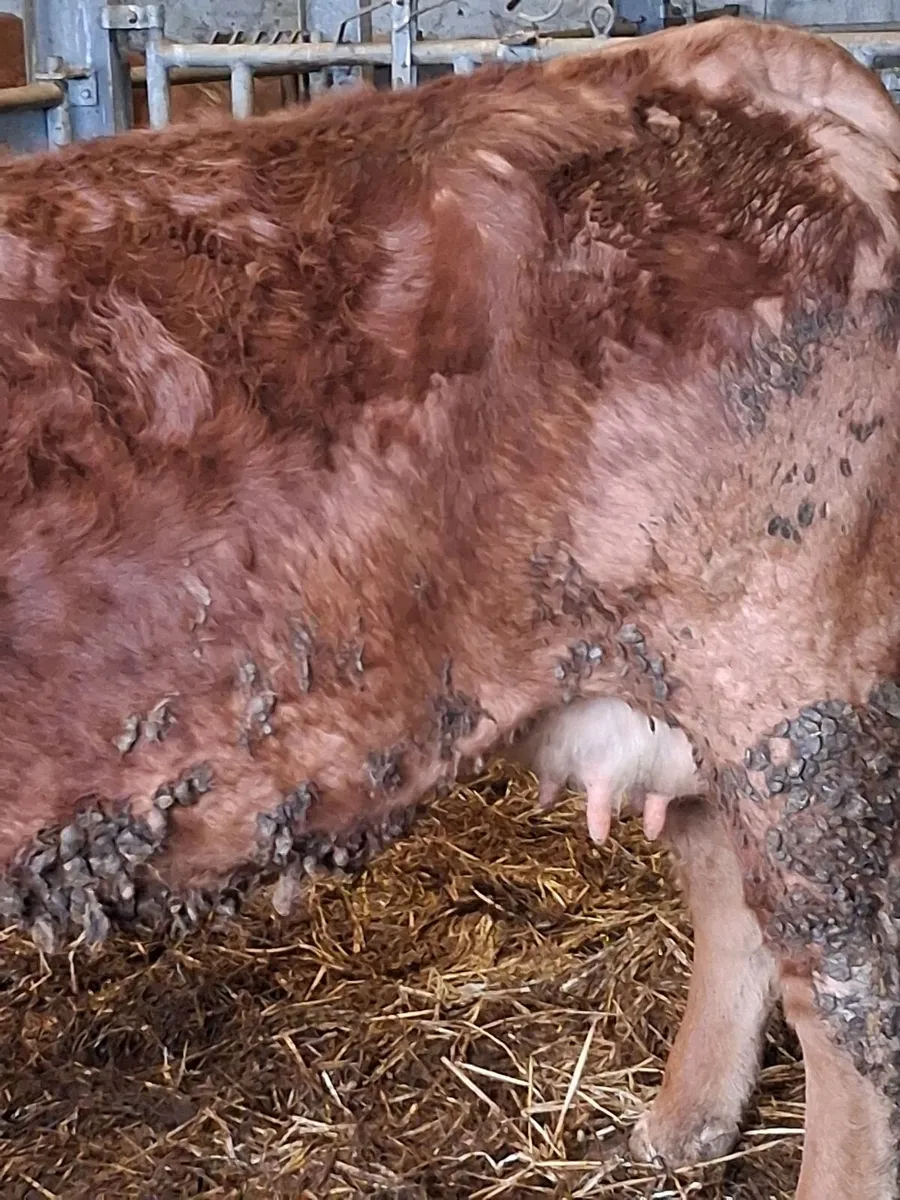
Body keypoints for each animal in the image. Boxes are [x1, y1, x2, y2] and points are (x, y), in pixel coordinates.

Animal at [0, 15, 898, 1198]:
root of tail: (754, 52)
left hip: (786, 683)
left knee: (847, 981)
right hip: (674, 678)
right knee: (729, 894)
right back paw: (676, 1129)